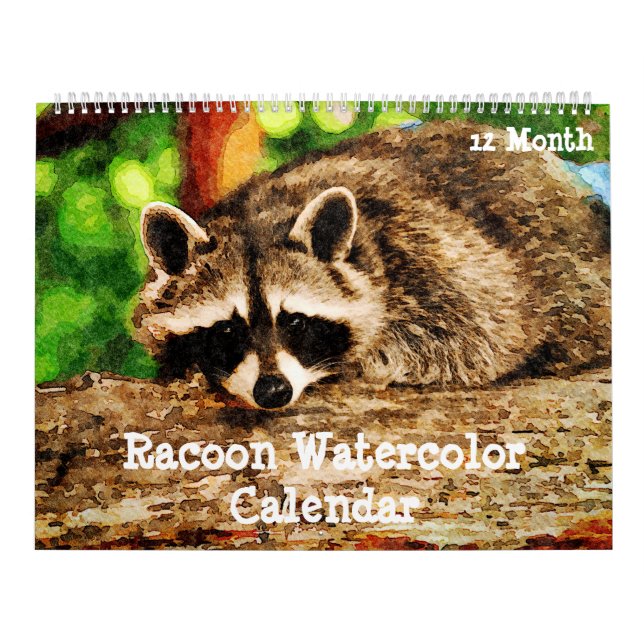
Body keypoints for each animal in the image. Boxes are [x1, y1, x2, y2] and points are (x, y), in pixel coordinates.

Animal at [133, 120, 610, 409]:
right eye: (228, 330)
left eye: (295, 322)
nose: (273, 391)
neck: (258, 213)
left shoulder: (433, 259)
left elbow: (485, 335)